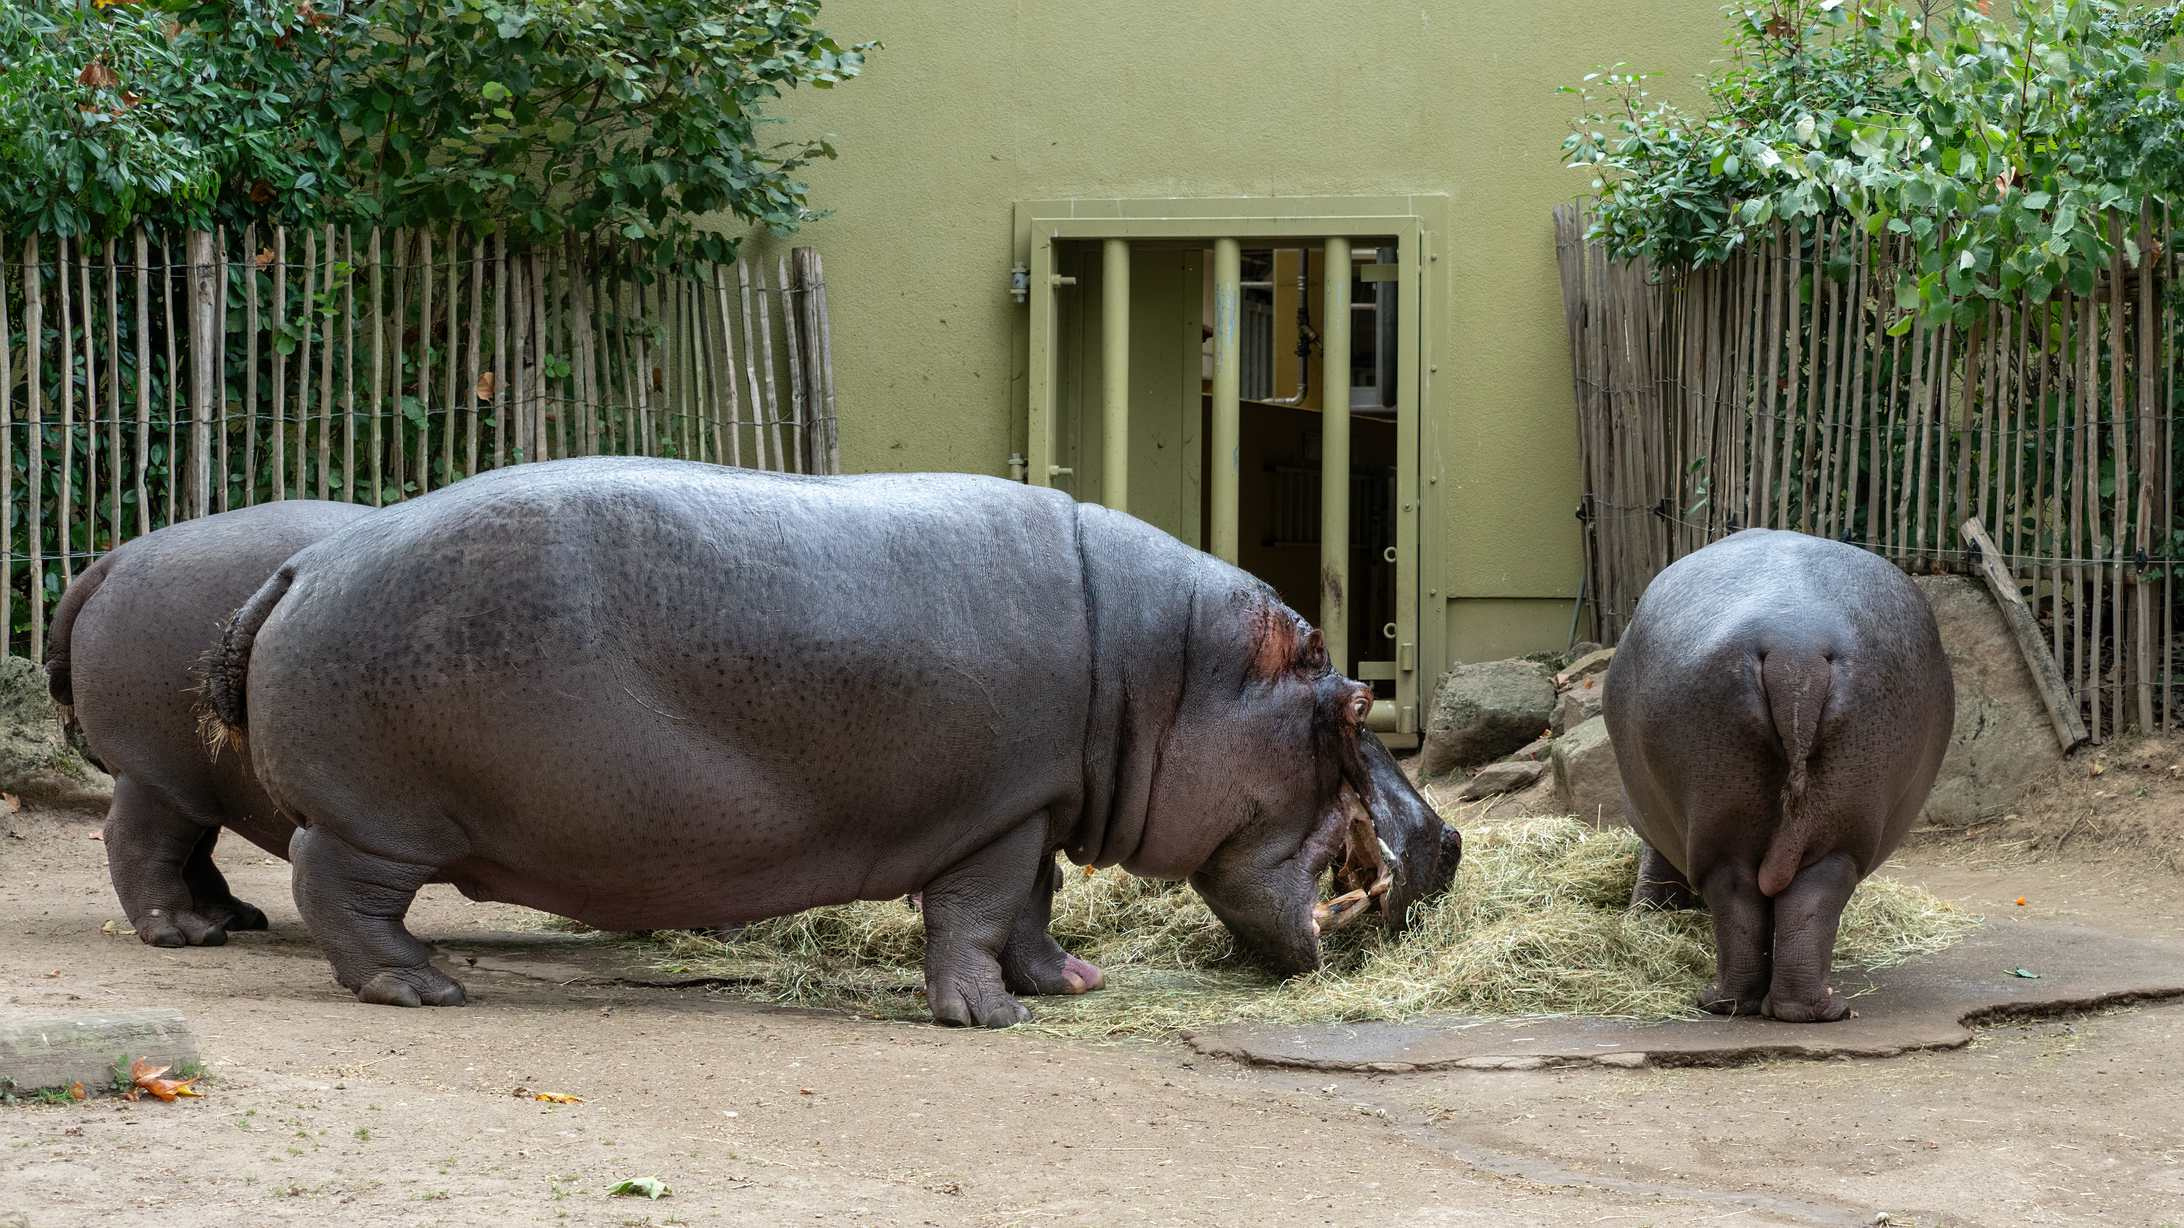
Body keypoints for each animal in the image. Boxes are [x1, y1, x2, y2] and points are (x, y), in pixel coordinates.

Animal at [44, 500, 372, 947]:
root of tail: (111, 561)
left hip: (200, 780)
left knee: (192, 850)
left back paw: (237, 918)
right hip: (157, 774)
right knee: (139, 841)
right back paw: (182, 932)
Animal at [201, 457, 1460, 1025]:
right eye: (1350, 705)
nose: (1446, 843)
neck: (1166, 667)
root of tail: (303, 563)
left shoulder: (1035, 804)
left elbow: (1033, 910)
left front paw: (1066, 983)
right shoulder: (998, 815)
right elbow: (979, 913)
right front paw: (990, 1016)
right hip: (380, 818)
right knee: (336, 890)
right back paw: (423, 988)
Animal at [1601, 529, 1952, 1022]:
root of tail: (1796, 652)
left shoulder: (1650, 822)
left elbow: (1655, 871)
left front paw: (1645, 916)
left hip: (1727, 817)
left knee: (1739, 900)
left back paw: (1721, 1002)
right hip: (1839, 827)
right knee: (1808, 899)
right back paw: (1812, 1008)